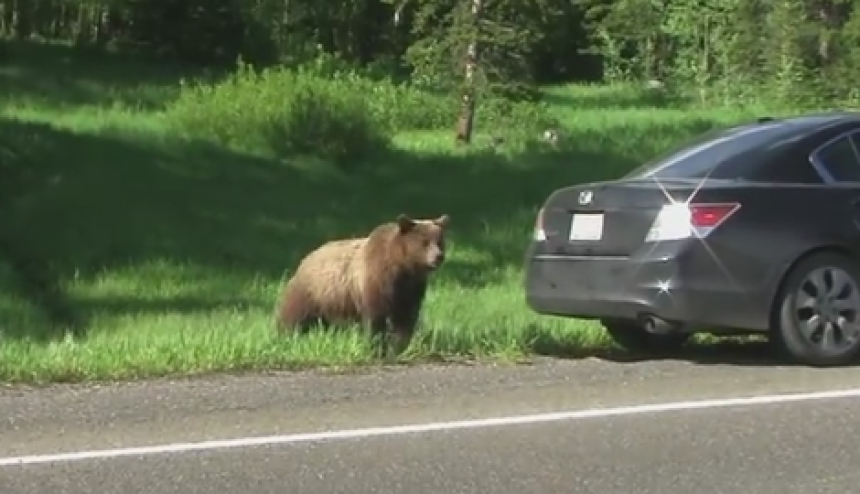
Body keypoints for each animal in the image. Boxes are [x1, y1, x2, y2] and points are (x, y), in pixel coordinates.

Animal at [276, 214, 450, 354]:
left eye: (440, 242)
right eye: (424, 242)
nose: (438, 256)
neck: (402, 267)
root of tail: (305, 259)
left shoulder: (411, 290)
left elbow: (406, 318)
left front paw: (399, 347)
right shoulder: (376, 281)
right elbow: (375, 318)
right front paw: (376, 347)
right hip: (313, 294)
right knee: (294, 317)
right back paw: (286, 336)